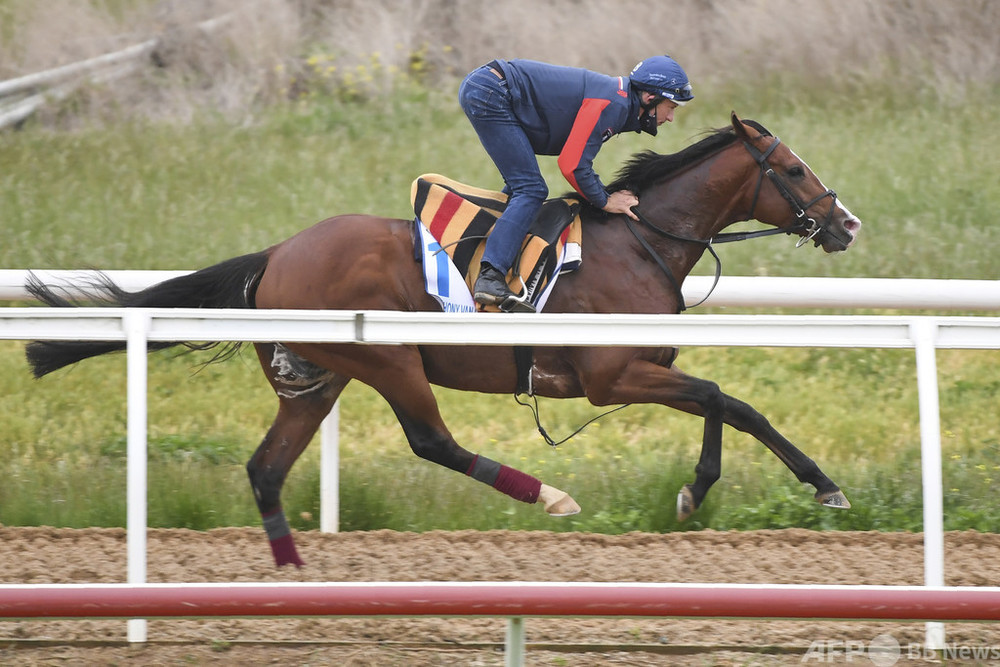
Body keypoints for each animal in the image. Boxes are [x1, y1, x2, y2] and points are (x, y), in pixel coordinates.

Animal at [27, 112, 864, 568]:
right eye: (793, 169)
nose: (847, 223)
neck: (640, 243)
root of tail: (277, 253)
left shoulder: (639, 370)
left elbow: (741, 406)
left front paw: (822, 483)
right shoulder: (612, 374)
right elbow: (723, 398)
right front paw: (697, 489)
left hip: (315, 378)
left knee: (266, 468)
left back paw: (292, 571)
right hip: (387, 357)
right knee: (430, 439)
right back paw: (548, 494)